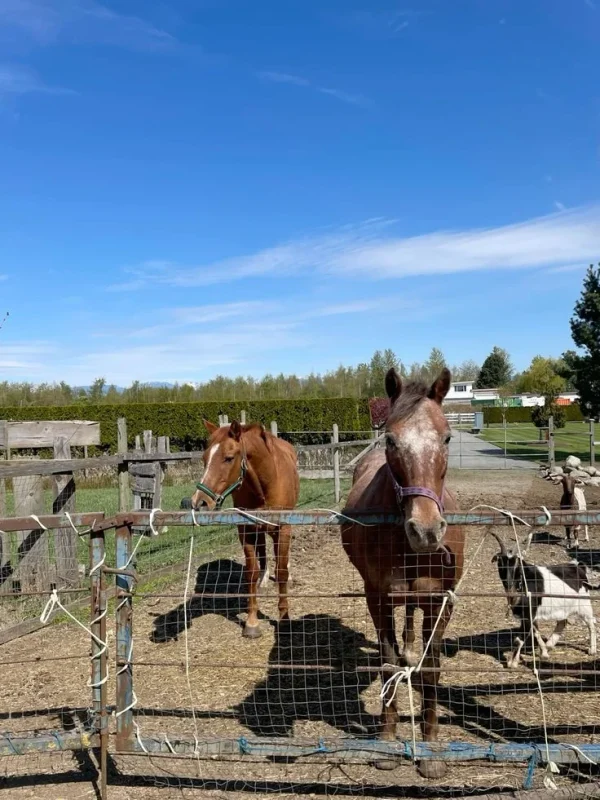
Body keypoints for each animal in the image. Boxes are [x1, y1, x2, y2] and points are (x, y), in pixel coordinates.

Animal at [182, 419, 300, 639]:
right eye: (204, 459)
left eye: (228, 458)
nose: (199, 503)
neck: (266, 483)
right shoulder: (246, 529)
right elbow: (251, 573)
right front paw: (252, 622)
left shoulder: (283, 529)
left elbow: (281, 572)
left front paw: (284, 619)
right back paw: (264, 578)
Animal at [341, 368, 465, 778]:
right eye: (391, 439)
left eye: (446, 436)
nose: (425, 531)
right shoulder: (377, 599)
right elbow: (387, 662)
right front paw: (387, 738)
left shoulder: (441, 603)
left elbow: (431, 668)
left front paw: (431, 745)